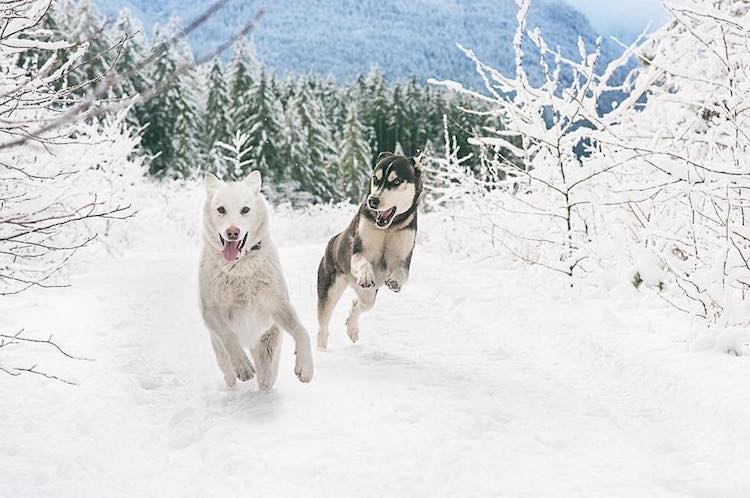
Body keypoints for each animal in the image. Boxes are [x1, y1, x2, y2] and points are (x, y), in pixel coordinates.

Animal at [198, 171, 312, 390]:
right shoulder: (211, 311)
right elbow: (229, 335)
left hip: (268, 349)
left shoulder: (278, 304)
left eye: (245, 209)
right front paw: (242, 366)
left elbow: (302, 330)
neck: (240, 267)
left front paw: (305, 368)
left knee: (266, 378)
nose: (232, 232)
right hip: (220, 354)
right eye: (221, 209)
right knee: (228, 371)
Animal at [316, 153, 424, 350]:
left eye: (396, 181)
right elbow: (363, 261)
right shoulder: (358, 252)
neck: (388, 228)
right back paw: (321, 349)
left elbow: (402, 272)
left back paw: (352, 327)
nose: (373, 201)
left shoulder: (404, 259)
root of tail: (332, 241)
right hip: (329, 289)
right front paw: (366, 276)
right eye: (375, 178)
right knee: (323, 324)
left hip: (369, 294)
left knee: (362, 304)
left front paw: (395, 282)